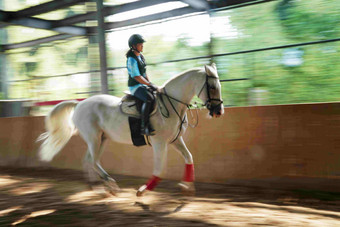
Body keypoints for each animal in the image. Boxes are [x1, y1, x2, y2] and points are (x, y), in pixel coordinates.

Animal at [37, 63, 223, 196]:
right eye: (212, 87)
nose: (219, 111)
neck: (172, 105)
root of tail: (79, 104)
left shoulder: (175, 139)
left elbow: (189, 157)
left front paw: (186, 186)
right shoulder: (159, 142)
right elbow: (159, 168)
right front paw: (143, 190)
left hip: (101, 139)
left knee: (89, 160)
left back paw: (99, 188)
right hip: (93, 138)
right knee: (93, 161)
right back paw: (110, 184)